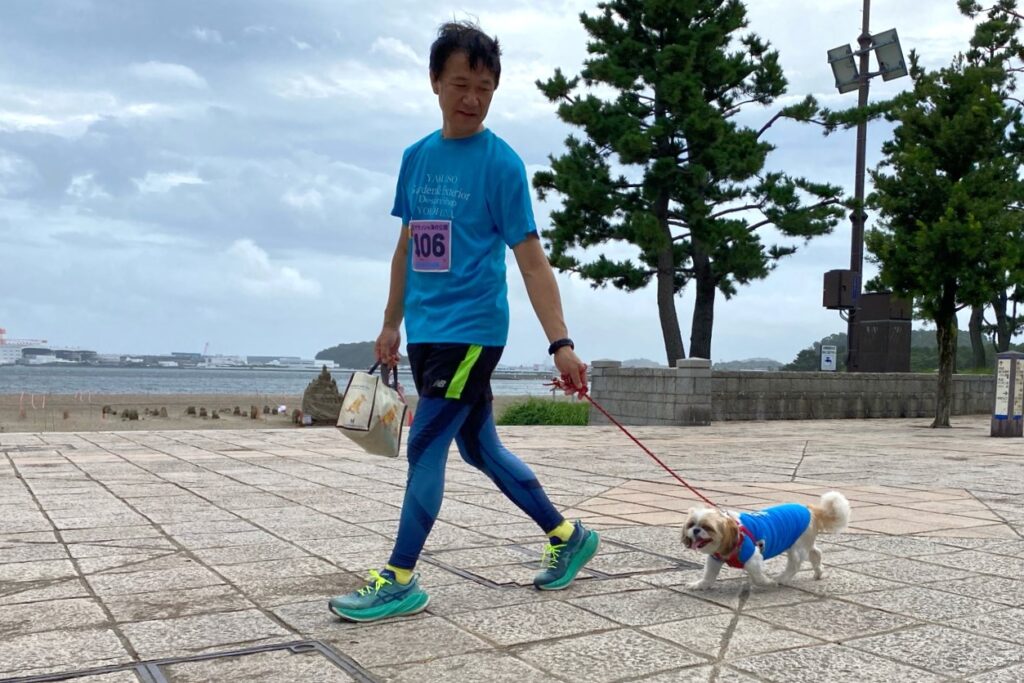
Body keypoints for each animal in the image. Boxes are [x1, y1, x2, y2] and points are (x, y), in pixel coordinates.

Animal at [684, 491, 851, 589]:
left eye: (707, 527)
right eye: (691, 524)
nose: (696, 530)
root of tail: (810, 509)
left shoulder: (753, 557)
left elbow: (758, 577)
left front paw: (767, 582)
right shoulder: (715, 559)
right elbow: (709, 575)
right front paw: (700, 585)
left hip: (797, 548)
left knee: (794, 565)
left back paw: (782, 579)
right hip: (804, 543)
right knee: (816, 553)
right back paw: (818, 572)